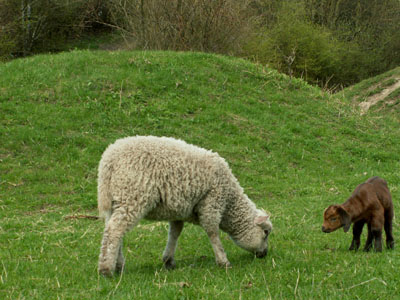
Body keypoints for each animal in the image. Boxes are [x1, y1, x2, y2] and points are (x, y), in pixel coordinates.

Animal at [97, 136, 272, 276]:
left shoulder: (177, 210)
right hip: (133, 196)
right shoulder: (212, 202)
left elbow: (175, 233)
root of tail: (109, 160)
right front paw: (223, 261)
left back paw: (118, 265)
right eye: (266, 233)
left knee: (113, 231)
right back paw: (106, 269)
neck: (230, 201)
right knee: (115, 230)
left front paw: (168, 260)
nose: (264, 254)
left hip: (116, 199)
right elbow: (212, 232)